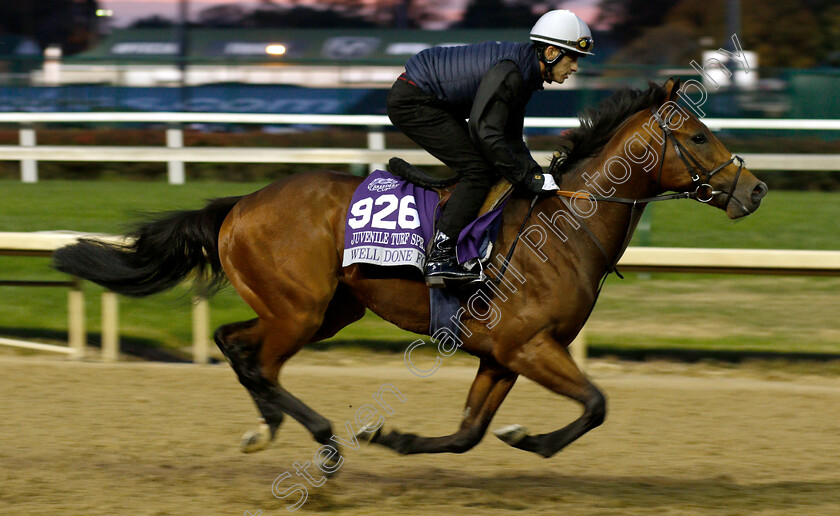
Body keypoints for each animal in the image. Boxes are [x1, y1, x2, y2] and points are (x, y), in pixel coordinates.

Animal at [52, 78, 768, 462]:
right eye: (698, 136)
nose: (755, 189)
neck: (566, 224)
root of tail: (241, 204)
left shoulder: (501, 355)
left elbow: (468, 434)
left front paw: (397, 436)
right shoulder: (530, 346)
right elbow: (596, 404)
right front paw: (533, 440)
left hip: (323, 311)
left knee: (237, 345)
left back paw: (268, 428)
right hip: (299, 310)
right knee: (260, 361)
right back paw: (321, 440)